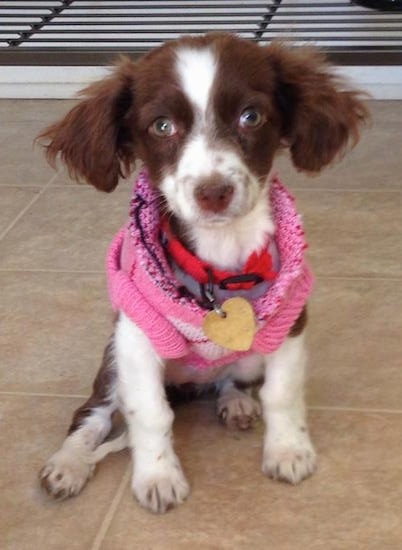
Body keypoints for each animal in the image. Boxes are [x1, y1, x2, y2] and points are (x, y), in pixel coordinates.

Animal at [37, 33, 368, 516]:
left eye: (251, 116)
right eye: (161, 126)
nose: (214, 193)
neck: (220, 254)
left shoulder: (289, 321)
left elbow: (282, 392)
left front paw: (289, 451)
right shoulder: (135, 340)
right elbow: (150, 413)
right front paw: (157, 477)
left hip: (246, 357)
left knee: (230, 378)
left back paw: (235, 401)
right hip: (112, 363)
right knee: (91, 414)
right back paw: (69, 463)